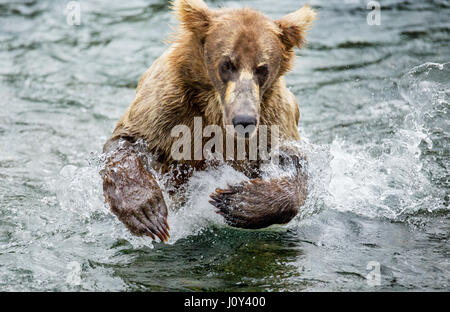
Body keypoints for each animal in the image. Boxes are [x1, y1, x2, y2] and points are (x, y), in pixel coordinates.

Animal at [100, 0, 318, 243]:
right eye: (227, 64)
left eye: (262, 68)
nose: (244, 119)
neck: (214, 108)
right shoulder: (168, 104)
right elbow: (128, 140)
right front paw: (148, 213)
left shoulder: (273, 118)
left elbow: (293, 163)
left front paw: (237, 201)